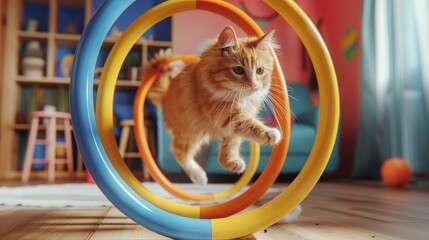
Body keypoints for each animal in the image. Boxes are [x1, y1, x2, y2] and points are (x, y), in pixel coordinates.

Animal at [147, 25, 280, 185]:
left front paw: (230, 162)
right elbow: (249, 123)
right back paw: (198, 176)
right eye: (238, 70)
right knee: (178, 151)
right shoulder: (226, 112)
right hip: (190, 133)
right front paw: (269, 133)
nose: (253, 85)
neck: (240, 98)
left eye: (260, 71)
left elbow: (231, 146)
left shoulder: (230, 127)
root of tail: (165, 97)